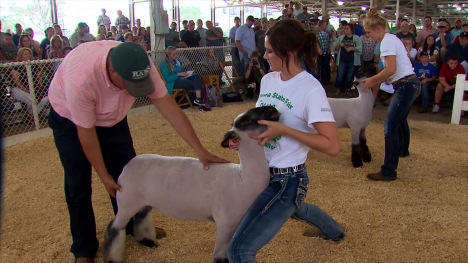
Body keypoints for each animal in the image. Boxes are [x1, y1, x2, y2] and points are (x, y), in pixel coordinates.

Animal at [102, 106, 278, 262]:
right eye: (244, 122)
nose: (273, 110)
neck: (242, 179)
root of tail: (126, 167)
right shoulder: (225, 225)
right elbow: (219, 258)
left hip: (143, 203)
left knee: (140, 219)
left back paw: (148, 242)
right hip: (126, 202)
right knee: (114, 228)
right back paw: (112, 259)